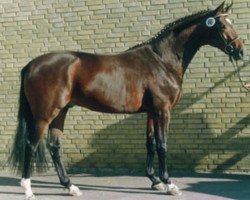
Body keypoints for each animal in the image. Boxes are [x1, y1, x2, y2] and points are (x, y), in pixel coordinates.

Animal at [9, 1, 244, 200]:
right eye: (222, 25)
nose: (240, 51)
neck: (162, 61)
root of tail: (31, 65)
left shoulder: (151, 112)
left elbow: (150, 144)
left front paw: (155, 181)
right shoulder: (163, 111)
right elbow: (162, 145)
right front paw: (169, 184)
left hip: (61, 112)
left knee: (54, 147)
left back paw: (71, 186)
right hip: (45, 114)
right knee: (30, 145)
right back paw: (28, 189)